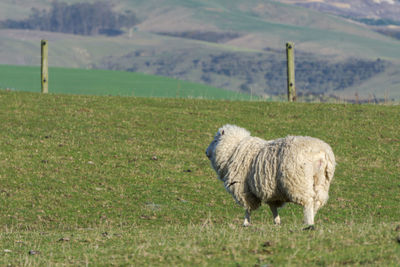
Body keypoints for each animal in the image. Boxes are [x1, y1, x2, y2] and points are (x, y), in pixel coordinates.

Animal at [205, 124, 336, 229]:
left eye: (215, 140)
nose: (206, 152)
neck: (234, 149)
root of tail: (322, 152)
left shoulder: (243, 188)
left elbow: (247, 208)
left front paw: (246, 223)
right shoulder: (271, 190)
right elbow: (273, 207)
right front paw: (277, 221)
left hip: (299, 182)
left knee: (308, 201)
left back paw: (308, 222)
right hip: (321, 181)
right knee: (317, 202)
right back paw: (311, 219)